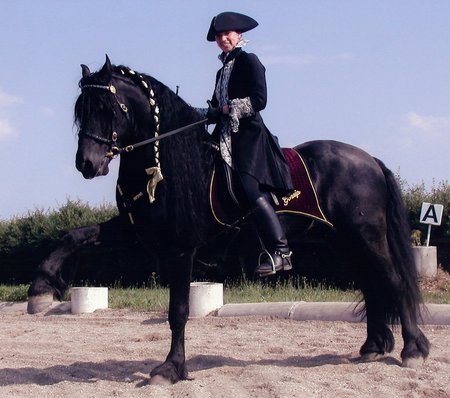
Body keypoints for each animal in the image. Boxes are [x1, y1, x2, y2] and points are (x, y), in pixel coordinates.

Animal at [27, 56, 428, 382]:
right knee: (373, 285)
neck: (167, 163)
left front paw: (170, 369)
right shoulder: (133, 231)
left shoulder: (180, 250)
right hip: (346, 241)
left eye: (109, 107)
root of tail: (369, 159)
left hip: (366, 237)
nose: (87, 164)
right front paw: (41, 288)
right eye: (81, 109)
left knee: (393, 281)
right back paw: (373, 347)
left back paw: (412, 350)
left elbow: (178, 311)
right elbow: (75, 236)